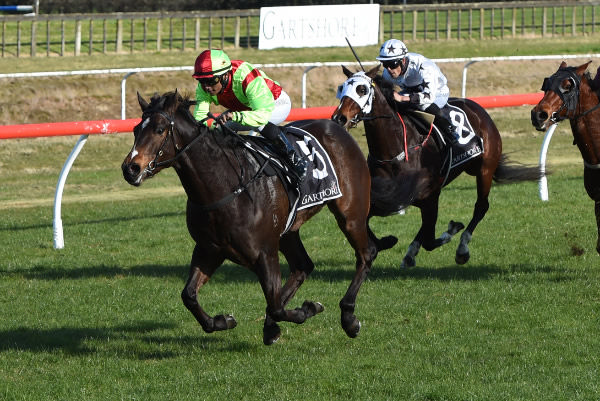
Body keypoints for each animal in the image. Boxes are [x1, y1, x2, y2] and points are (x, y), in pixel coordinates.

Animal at [119, 90, 378, 344]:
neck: (224, 187)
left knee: (366, 254)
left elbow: (276, 306)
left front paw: (308, 309)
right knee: (302, 266)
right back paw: (272, 327)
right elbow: (189, 295)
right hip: (288, 231)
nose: (130, 168)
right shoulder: (209, 249)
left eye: (159, 129)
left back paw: (349, 318)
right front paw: (223, 320)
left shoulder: (265, 253)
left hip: (350, 214)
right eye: (136, 129)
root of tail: (337, 126)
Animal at [332, 65, 540, 266]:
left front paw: (452, 230)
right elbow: (365, 222)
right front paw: (387, 242)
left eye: (362, 89)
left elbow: (430, 240)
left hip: (485, 169)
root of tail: (477, 108)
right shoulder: (387, 197)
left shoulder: (430, 196)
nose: (339, 118)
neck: (396, 150)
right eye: (342, 88)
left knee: (481, 206)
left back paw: (462, 248)